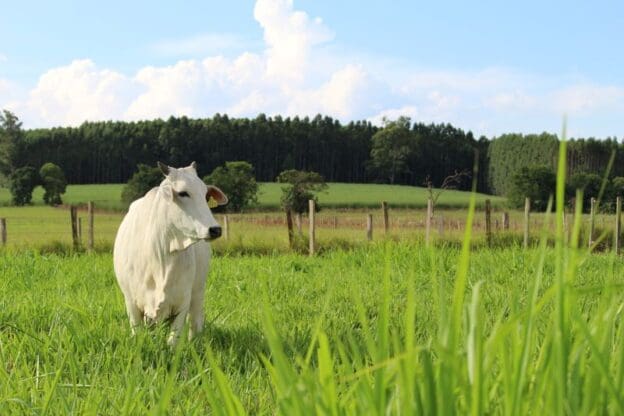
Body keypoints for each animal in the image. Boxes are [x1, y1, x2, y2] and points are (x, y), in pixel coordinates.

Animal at [113, 161, 228, 346]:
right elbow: (137, 332)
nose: (215, 229)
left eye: (205, 195)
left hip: (198, 291)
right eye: (183, 193)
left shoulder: (182, 302)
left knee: (195, 320)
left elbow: (173, 342)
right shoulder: (131, 301)